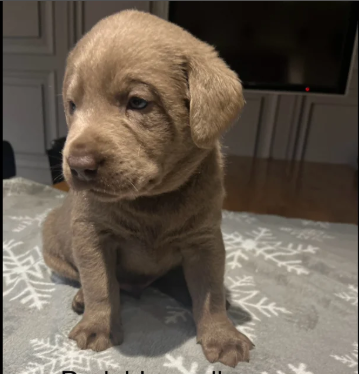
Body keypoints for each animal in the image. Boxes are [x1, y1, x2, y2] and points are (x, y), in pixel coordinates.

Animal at [42, 9, 255, 368]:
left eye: (138, 103)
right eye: (72, 105)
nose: (78, 165)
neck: (151, 201)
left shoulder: (206, 239)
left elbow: (209, 290)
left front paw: (221, 335)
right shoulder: (91, 234)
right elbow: (100, 283)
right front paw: (98, 325)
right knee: (88, 278)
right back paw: (81, 298)